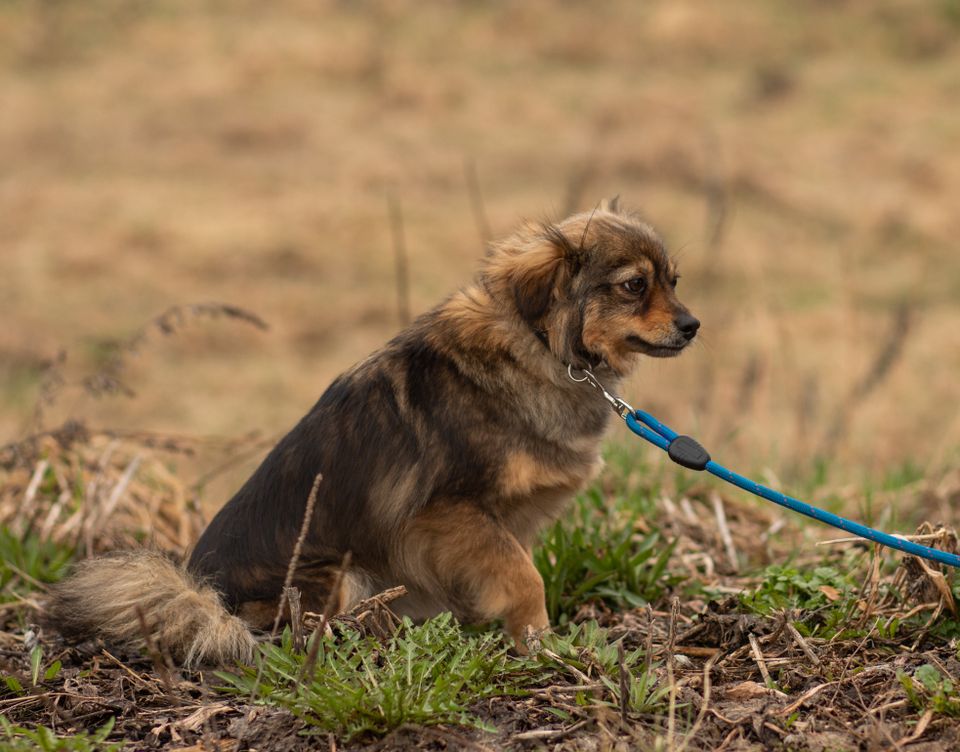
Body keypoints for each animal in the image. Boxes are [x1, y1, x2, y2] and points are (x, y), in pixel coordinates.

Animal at [45, 197, 696, 668]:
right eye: (634, 285)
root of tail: (204, 594)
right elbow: (523, 577)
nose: (694, 325)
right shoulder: (449, 513)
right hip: (336, 576)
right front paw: (540, 642)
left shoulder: (500, 524)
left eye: (674, 280)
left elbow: (509, 572)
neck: (543, 348)